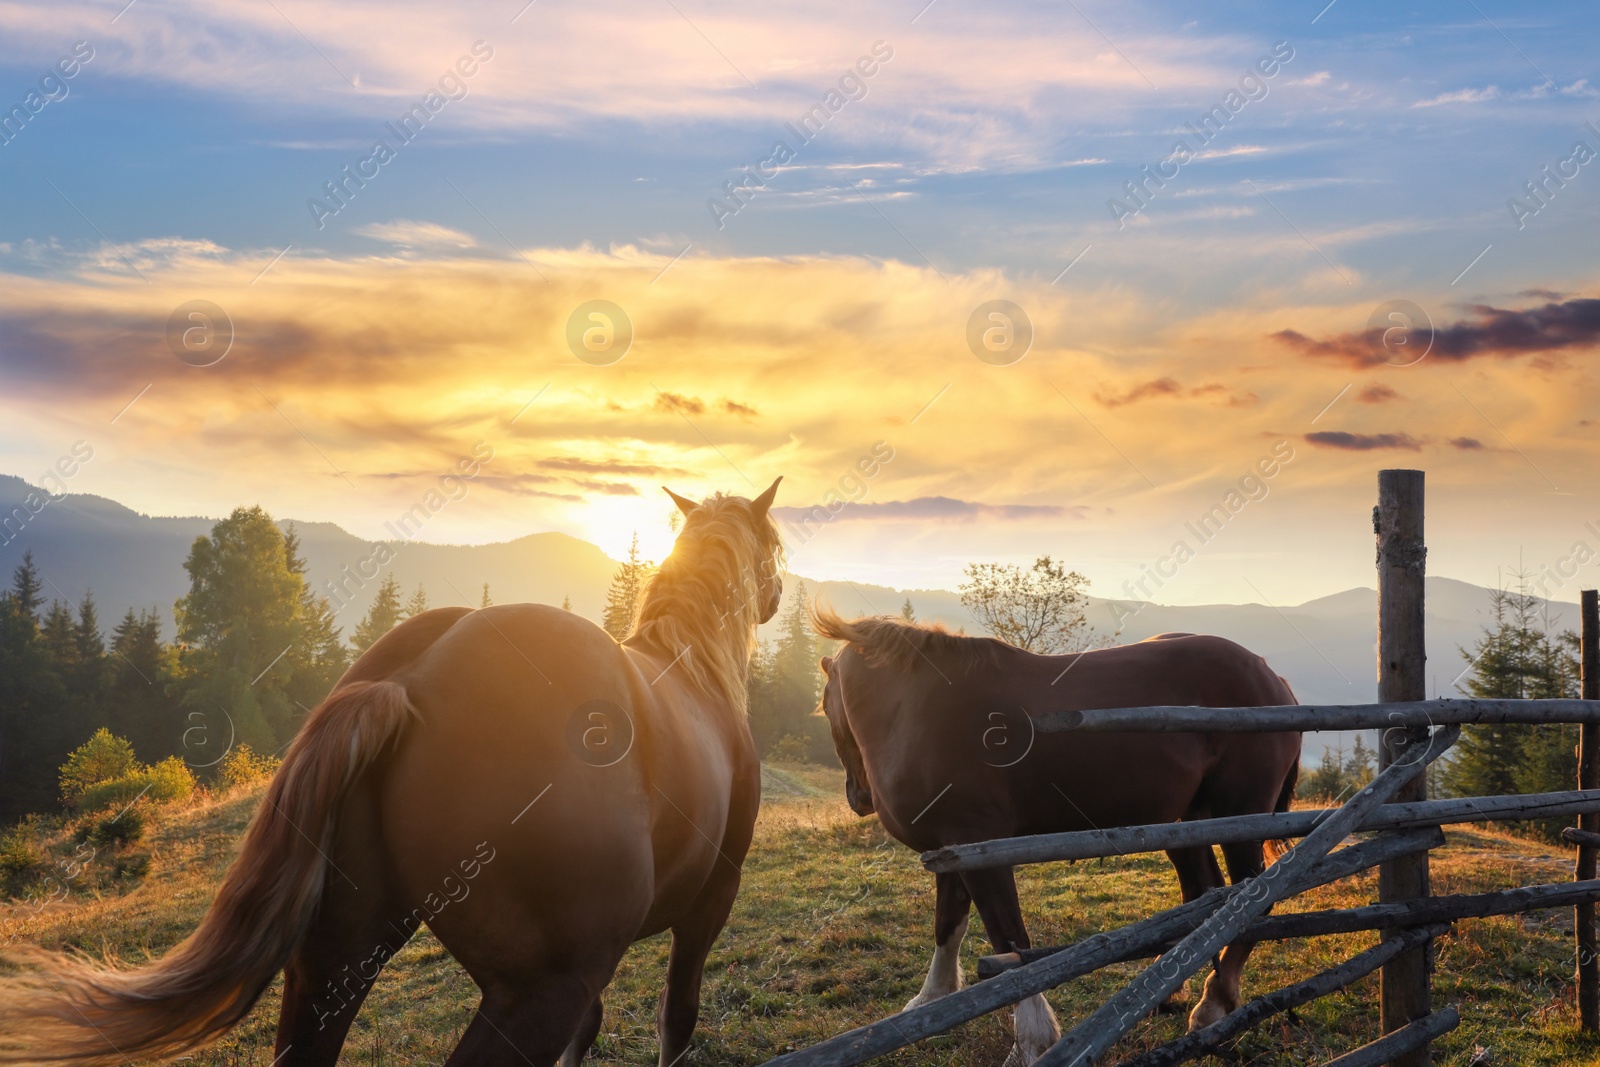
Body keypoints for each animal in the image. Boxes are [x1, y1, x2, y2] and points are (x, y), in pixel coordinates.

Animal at [0, 483, 787, 1067]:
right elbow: (677, 1016)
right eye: (775, 544)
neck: (695, 670)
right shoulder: (711, 899)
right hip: (536, 988)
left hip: (333, 960)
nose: (779, 592)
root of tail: (412, 679)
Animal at [812, 607, 1299, 1067]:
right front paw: (930, 1001)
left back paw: (1214, 1003)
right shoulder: (952, 850)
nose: (858, 797)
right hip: (1188, 822)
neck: (915, 711)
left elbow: (1009, 941)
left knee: (1253, 900)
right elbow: (948, 926)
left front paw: (1032, 1042)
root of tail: (1272, 679)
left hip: (1239, 814)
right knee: (1205, 895)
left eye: (823, 701)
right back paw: (1173, 989)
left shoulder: (980, 850)